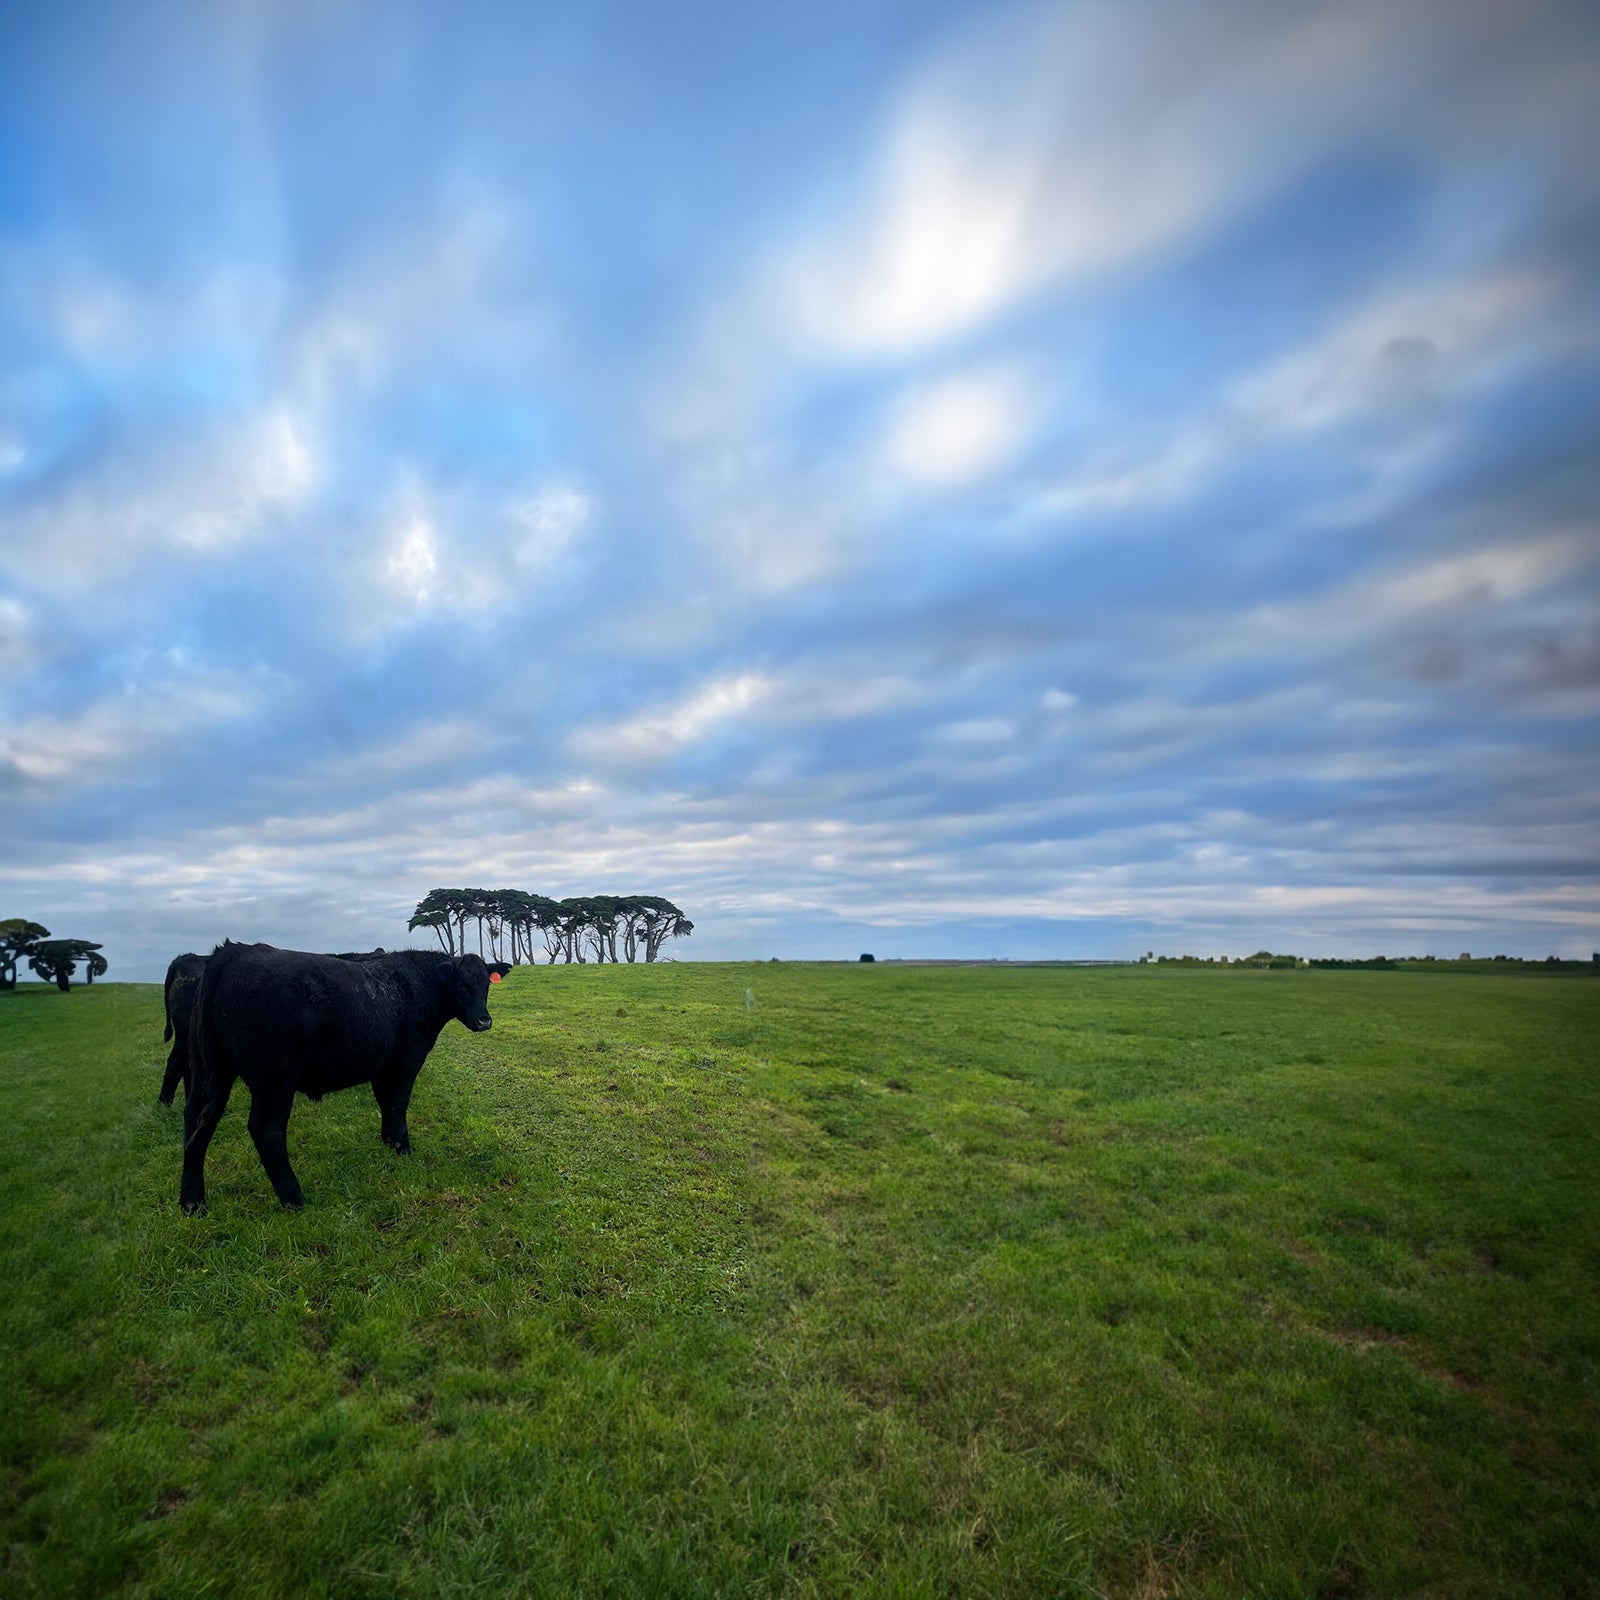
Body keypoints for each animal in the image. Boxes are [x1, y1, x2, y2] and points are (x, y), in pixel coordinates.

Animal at [178, 934, 496, 1209]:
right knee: (266, 1130)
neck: (415, 985)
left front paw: (388, 1143)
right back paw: (294, 1198)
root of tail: (235, 951)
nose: (484, 1021)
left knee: (196, 1122)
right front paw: (403, 1147)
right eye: (463, 986)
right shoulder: (406, 1061)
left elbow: (386, 1103)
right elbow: (398, 1102)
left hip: (210, 1073)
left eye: (486, 986)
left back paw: (192, 1201)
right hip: (275, 1079)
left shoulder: (381, 1065)